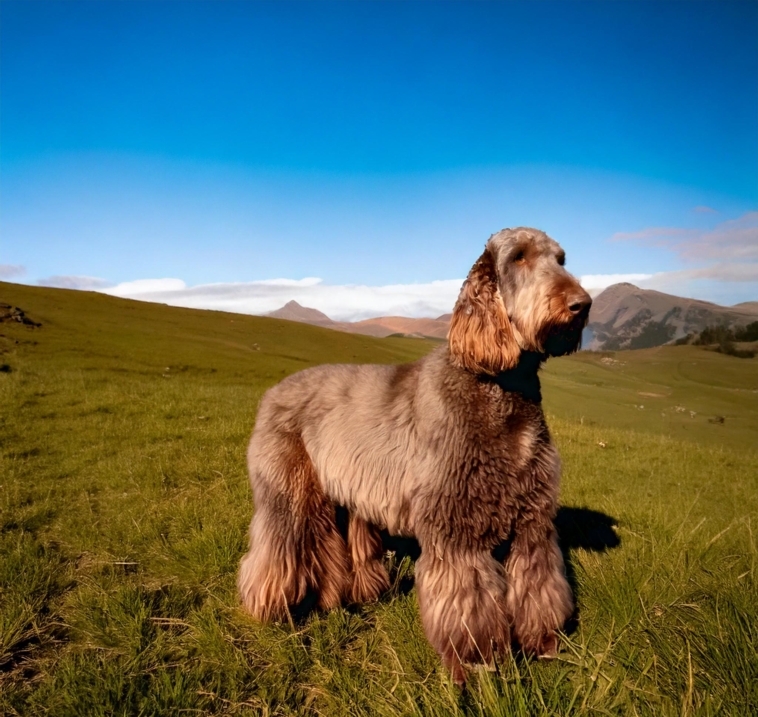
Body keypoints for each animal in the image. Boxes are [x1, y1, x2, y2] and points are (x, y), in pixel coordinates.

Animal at [238, 228, 592, 684]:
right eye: (519, 257)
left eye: (561, 258)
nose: (581, 304)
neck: (499, 387)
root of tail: (271, 393)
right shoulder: (456, 528)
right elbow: (469, 604)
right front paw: (477, 664)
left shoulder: (533, 523)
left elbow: (538, 585)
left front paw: (544, 644)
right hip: (288, 488)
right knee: (276, 549)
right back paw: (268, 608)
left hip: (342, 496)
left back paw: (342, 599)